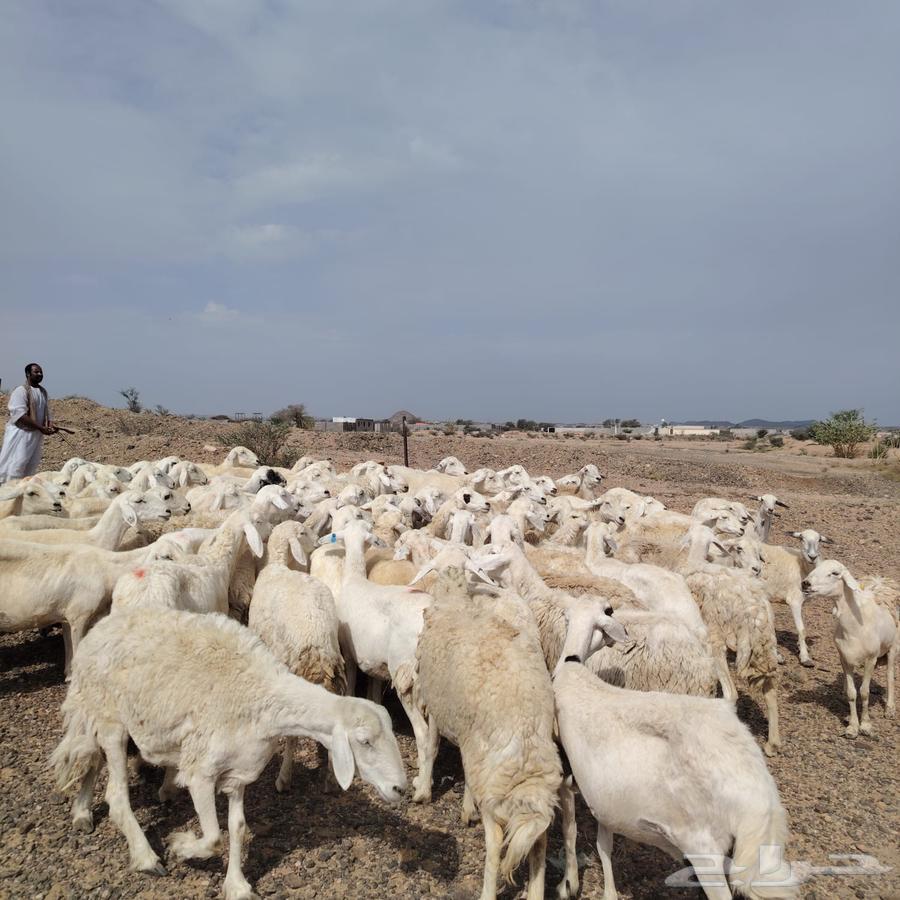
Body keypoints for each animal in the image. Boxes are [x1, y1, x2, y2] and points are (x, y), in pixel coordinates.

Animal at [51, 606, 406, 900]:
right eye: (364, 741)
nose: (400, 789)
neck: (263, 697)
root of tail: (99, 628)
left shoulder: (238, 772)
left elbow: (236, 828)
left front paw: (236, 886)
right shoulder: (200, 771)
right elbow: (213, 838)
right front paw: (181, 847)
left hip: (101, 717)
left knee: (92, 758)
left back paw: (82, 812)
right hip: (110, 719)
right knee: (116, 793)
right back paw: (145, 857)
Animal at [248, 522, 347, 792]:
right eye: (303, 533)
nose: (319, 542)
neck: (278, 564)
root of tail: (318, 644)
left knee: (291, 735)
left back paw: (283, 778)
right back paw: (331, 779)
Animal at [415, 567, 564, 900]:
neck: (456, 603)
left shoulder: (437, 704)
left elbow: (431, 746)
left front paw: (424, 792)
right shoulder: (470, 739)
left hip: (494, 789)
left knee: (495, 842)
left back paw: (487, 890)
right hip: (520, 788)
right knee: (539, 845)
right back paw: (535, 892)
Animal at [552, 660, 797, 900]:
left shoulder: (567, 780)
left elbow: (570, 829)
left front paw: (568, 885)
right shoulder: (604, 805)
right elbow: (602, 845)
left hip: (704, 850)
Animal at [802, 561, 898, 736]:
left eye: (834, 573)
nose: (805, 583)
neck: (854, 627)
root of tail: (879, 587)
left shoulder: (871, 659)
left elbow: (865, 692)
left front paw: (865, 725)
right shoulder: (845, 659)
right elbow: (852, 693)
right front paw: (853, 726)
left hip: (892, 648)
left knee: (890, 676)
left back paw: (890, 709)